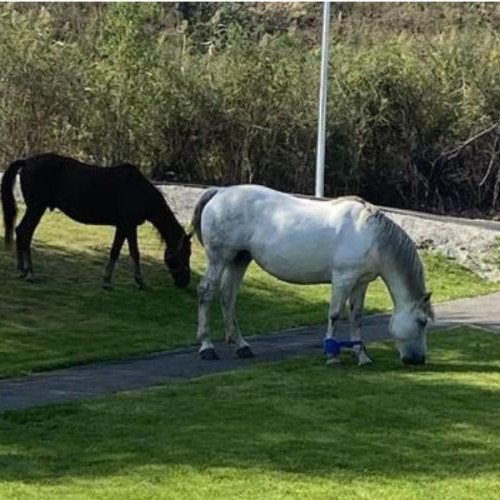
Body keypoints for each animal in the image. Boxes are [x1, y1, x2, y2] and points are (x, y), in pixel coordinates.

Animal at [0, 155, 191, 290]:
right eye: (185, 254)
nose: (184, 282)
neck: (140, 191)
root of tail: (27, 162)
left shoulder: (127, 227)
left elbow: (130, 252)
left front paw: (135, 281)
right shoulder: (125, 225)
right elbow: (121, 252)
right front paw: (113, 282)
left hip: (35, 209)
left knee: (20, 231)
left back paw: (21, 270)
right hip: (36, 208)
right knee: (25, 233)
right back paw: (30, 273)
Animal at [191, 186, 434, 366]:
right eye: (422, 322)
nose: (418, 360)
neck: (370, 235)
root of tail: (220, 192)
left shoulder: (361, 283)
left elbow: (357, 317)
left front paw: (362, 356)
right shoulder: (342, 279)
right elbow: (335, 314)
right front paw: (332, 355)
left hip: (240, 259)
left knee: (228, 296)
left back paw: (241, 346)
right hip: (219, 259)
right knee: (206, 292)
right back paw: (207, 347)